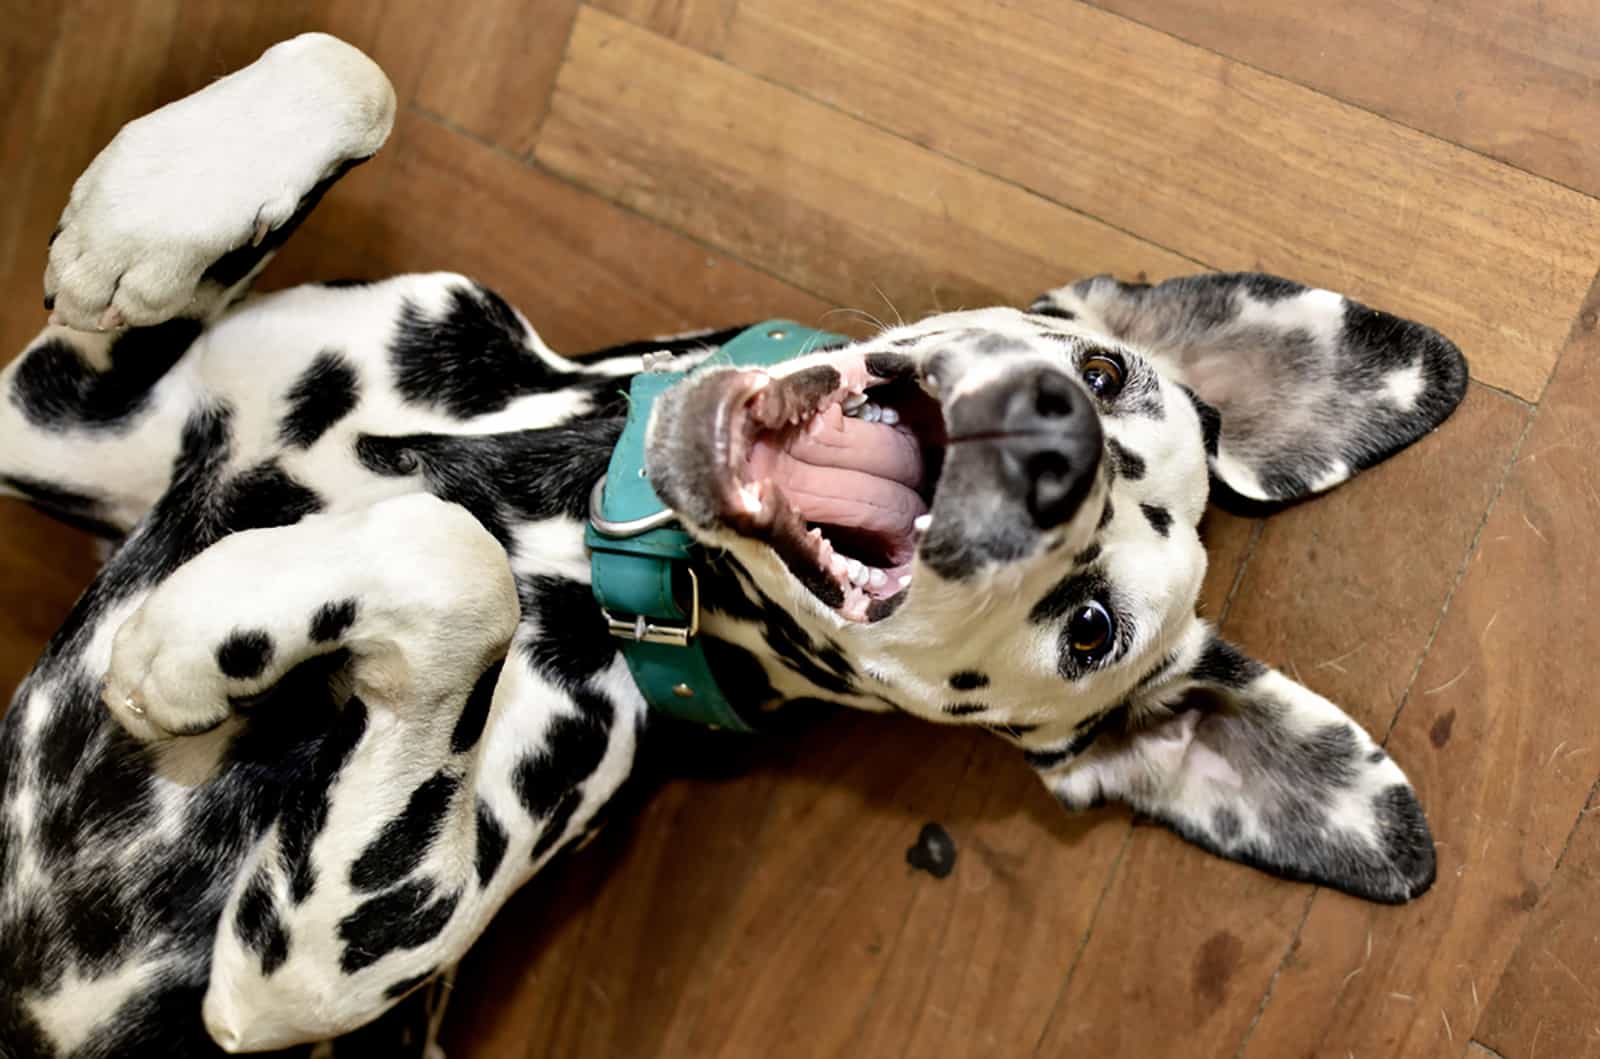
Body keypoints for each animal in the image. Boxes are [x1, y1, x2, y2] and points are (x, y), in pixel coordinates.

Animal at [0, 33, 1465, 1059]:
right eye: (1106, 373)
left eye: (1092, 628)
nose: (1061, 444)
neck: (544, 480)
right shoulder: (61, 409)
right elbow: (351, 68)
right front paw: (144, 218)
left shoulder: (306, 966)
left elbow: (449, 563)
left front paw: (200, 639)